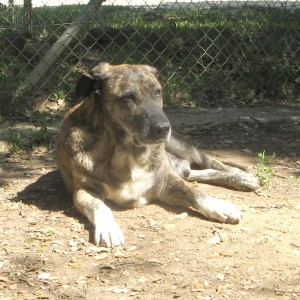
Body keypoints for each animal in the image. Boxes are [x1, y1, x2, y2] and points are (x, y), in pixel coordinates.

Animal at [57, 62, 258, 247]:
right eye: (128, 97)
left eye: (157, 92)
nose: (163, 128)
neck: (128, 152)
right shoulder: (83, 191)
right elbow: (100, 206)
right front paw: (108, 228)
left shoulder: (166, 181)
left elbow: (195, 192)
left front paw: (221, 205)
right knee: (194, 173)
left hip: (183, 148)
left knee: (211, 163)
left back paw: (241, 176)